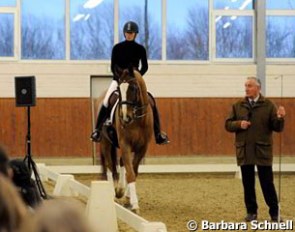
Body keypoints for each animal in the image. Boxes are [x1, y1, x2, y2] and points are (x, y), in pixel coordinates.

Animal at [100, 66, 154, 212]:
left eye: (134, 88)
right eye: (119, 89)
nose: (125, 117)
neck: (137, 119)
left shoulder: (142, 148)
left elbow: (133, 171)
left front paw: (129, 198)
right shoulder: (125, 144)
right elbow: (130, 173)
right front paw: (134, 204)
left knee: (120, 162)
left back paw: (121, 190)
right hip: (105, 143)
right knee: (109, 165)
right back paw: (113, 193)